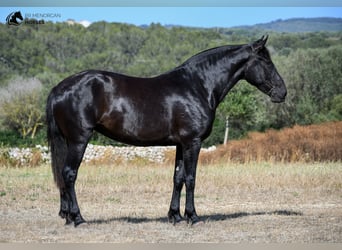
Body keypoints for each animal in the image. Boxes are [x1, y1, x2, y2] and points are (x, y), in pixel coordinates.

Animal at [45, 35, 286, 227]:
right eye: (266, 61)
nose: (282, 92)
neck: (197, 85)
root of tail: (59, 88)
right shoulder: (193, 142)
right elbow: (191, 178)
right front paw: (192, 217)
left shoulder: (180, 143)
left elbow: (177, 178)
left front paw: (175, 216)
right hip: (79, 139)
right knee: (69, 174)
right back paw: (78, 218)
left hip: (67, 141)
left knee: (63, 175)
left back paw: (67, 216)